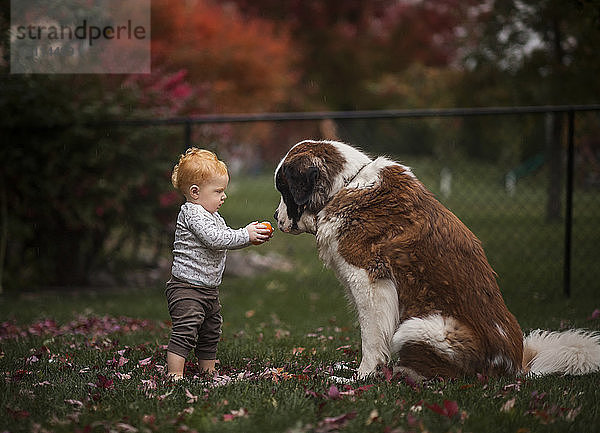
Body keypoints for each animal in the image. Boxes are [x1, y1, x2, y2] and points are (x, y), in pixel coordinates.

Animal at [274, 139, 600, 378]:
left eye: (284, 189)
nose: (276, 218)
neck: (344, 186)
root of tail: (516, 366)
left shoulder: (368, 281)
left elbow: (371, 337)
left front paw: (362, 377)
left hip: (421, 326)